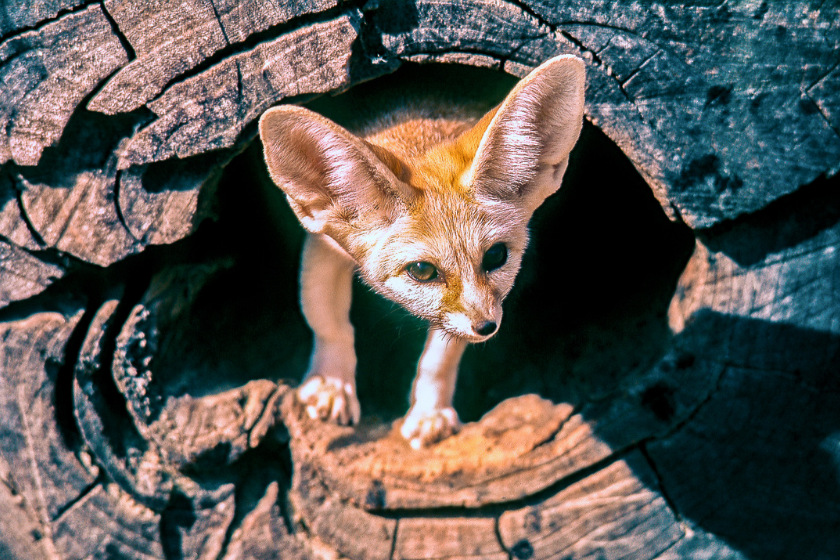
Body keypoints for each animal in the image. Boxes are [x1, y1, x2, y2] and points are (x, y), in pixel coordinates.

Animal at [260, 54, 584, 448]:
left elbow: (439, 359)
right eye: (422, 271)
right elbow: (328, 320)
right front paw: (331, 384)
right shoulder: (324, 246)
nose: (487, 327)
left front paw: (429, 413)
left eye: (496, 256)